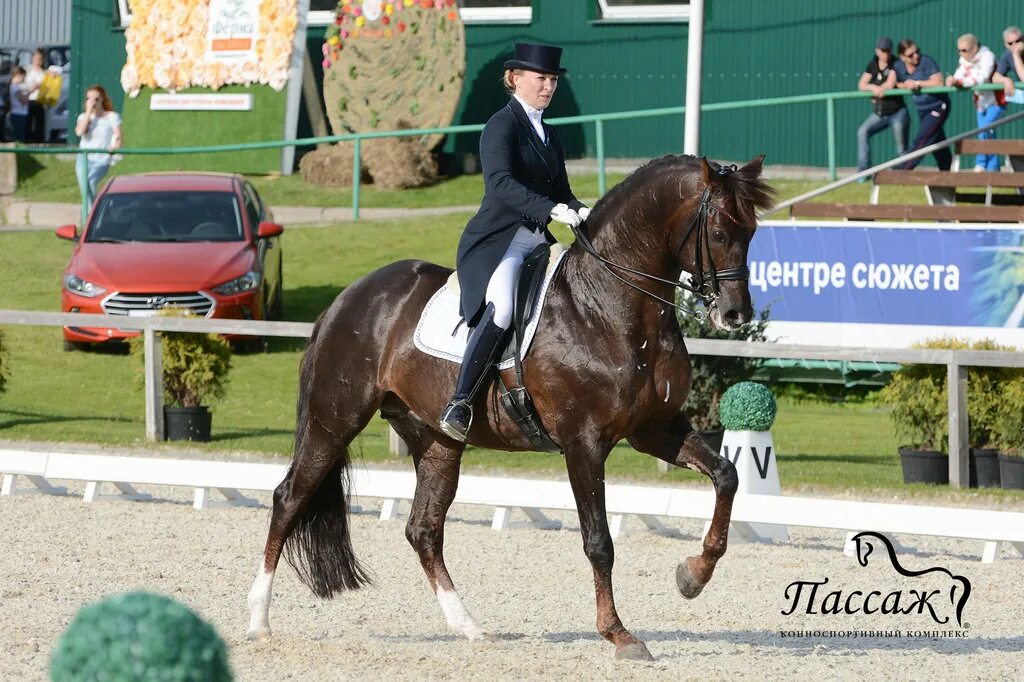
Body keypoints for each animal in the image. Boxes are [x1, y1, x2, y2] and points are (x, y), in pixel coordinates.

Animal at [249, 153, 774, 659]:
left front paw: (693, 575)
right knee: (289, 498)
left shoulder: (654, 429)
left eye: (752, 232)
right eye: (720, 232)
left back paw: (471, 629)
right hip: (334, 420)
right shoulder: (584, 443)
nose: (735, 314)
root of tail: (348, 298)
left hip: (436, 440)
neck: (609, 305)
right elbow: (599, 542)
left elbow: (727, 475)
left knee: (424, 530)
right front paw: (619, 634)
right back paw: (259, 621)